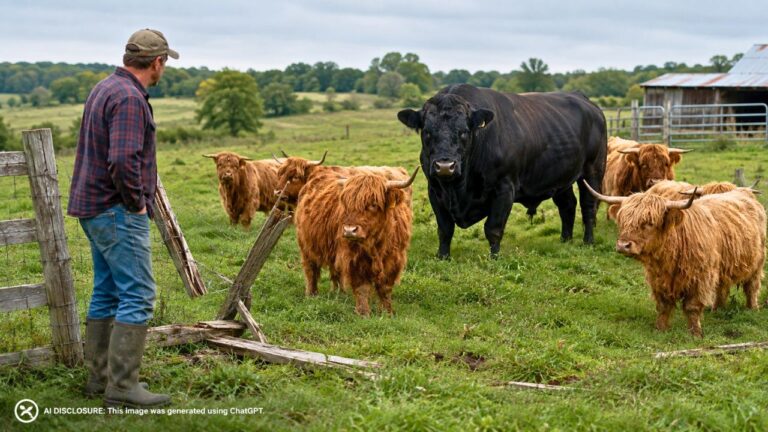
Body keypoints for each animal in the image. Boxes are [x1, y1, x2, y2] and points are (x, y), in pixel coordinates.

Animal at [294, 168, 418, 315]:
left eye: (373, 204)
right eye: (347, 204)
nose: (349, 230)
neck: (377, 244)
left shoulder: (394, 259)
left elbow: (386, 287)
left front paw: (387, 312)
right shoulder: (354, 258)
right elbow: (362, 287)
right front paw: (363, 313)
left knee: (335, 270)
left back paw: (341, 293)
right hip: (306, 244)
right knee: (311, 269)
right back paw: (312, 294)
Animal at [397, 84, 607, 259]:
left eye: (464, 131)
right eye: (427, 132)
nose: (444, 166)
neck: (459, 189)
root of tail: (586, 101)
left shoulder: (504, 188)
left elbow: (493, 228)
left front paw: (494, 258)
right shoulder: (434, 190)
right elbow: (445, 228)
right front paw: (443, 256)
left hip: (593, 171)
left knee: (588, 206)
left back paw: (588, 241)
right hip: (561, 177)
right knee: (567, 205)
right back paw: (565, 240)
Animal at [585, 181, 766, 337]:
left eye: (649, 223)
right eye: (623, 221)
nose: (623, 245)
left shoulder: (700, 277)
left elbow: (692, 307)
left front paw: (695, 334)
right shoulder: (658, 279)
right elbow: (663, 306)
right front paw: (660, 328)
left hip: (757, 263)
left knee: (752, 287)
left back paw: (753, 309)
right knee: (723, 287)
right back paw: (718, 309)